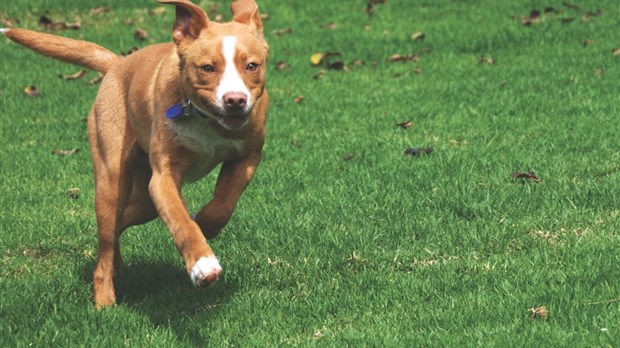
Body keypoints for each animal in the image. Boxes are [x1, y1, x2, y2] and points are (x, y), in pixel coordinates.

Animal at [2, 0, 268, 308]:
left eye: (252, 66)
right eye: (207, 68)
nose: (235, 101)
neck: (205, 120)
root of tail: (117, 63)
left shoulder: (247, 158)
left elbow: (223, 204)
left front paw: (204, 222)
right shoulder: (163, 179)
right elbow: (181, 221)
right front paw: (203, 264)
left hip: (144, 201)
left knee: (117, 228)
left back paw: (116, 266)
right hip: (112, 180)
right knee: (106, 240)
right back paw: (105, 300)